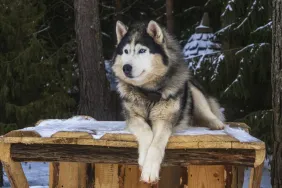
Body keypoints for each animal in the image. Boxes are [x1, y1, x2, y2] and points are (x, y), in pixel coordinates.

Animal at [111, 20, 226, 184]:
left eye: (142, 51)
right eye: (126, 51)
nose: (126, 68)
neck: (148, 93)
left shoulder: (164, 120)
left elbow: (156, 145)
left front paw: (150, 170)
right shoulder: (133, 118)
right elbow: (146, 131)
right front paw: (144, 157)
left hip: (193, 91)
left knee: (206, 111)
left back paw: (216, 123)